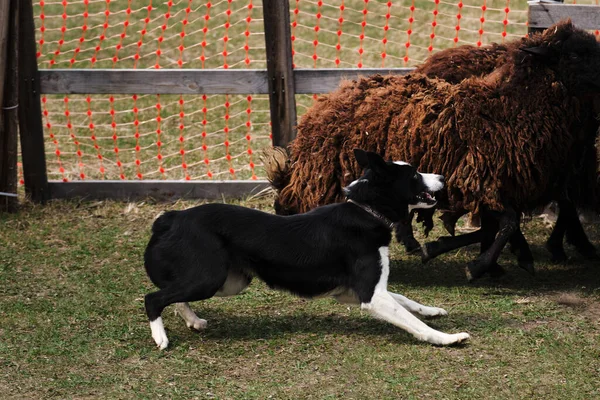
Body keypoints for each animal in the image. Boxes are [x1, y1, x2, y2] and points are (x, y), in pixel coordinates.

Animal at [268, 19, 600, 282]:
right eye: (573, 54)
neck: (509, 108)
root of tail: (329, 100)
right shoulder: (479, 181)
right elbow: (506, 224)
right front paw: (479, 266)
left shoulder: (495, 184)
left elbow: (499, 226)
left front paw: (471, 257)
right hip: (328, 177)